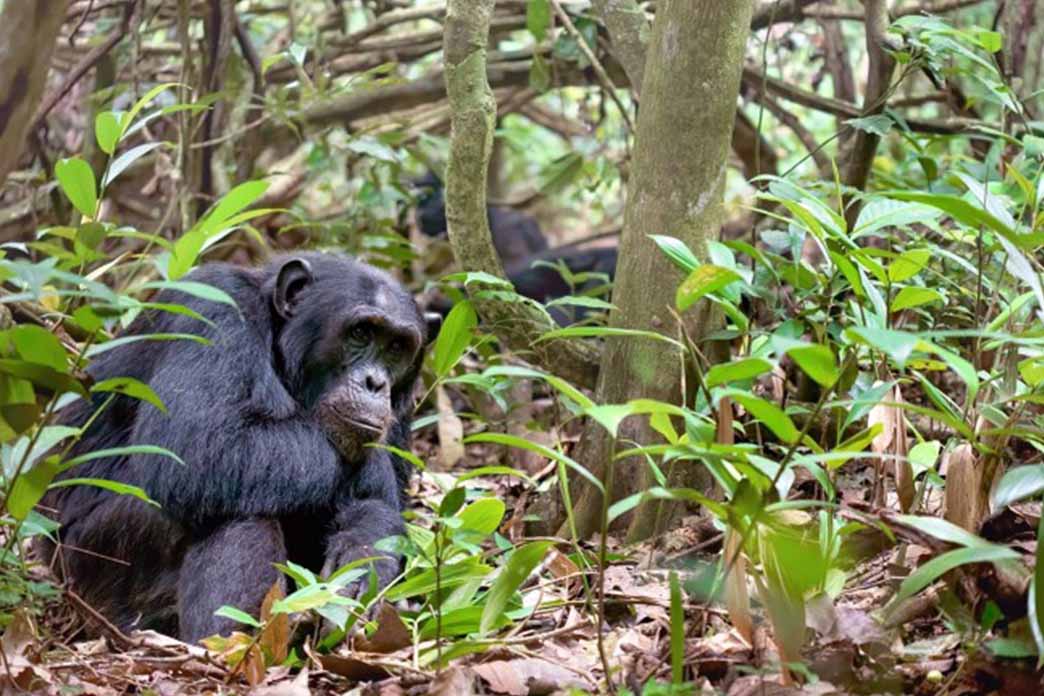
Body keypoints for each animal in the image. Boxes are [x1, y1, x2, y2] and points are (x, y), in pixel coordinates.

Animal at [35, 250, 436, 642]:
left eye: (396, 348)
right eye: (361, 332)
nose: (375, 382)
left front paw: (364, 554)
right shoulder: (213, 308)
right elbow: (197, 446)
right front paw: (372, 468)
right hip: (90, 569)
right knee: (235, 512)